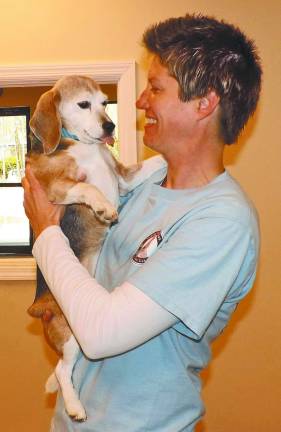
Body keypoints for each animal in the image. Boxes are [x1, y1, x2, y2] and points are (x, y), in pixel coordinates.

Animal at [26, 75, 141, 422]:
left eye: (104, 102)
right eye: (83, 104)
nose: (110, 126)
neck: (85, 147)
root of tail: (40, 305)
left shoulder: (124, 177)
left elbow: (154, 163)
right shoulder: (53, 186)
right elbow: (86, 186)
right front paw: (104, 207)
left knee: (61, 369)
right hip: (72, 335)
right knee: (62, 370)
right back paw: (75, 407)